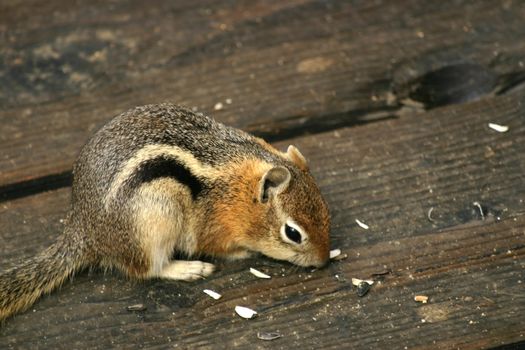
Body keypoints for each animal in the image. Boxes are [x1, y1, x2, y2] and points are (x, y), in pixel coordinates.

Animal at [0, 102, 328, 322]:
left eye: (326, 212)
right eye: (293, 233)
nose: (323, 261)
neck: (238, 191)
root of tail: (83, 230)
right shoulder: (211, 227)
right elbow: (217, 246)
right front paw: (241, 253)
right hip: (156, 217)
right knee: (147, 268)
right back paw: (187, 268)